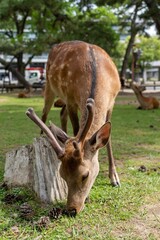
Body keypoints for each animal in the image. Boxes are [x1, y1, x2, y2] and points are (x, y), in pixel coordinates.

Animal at [26, 40, 121, 216]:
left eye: (85, 175)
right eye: (62, 176)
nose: (71, 209)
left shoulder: (111, 103)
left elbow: (108, 141)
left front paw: (114, 178)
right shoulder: (71, 99)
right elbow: (77, 130)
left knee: (61, 113)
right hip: (49, 87)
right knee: (45, 113)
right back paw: (45, 135)